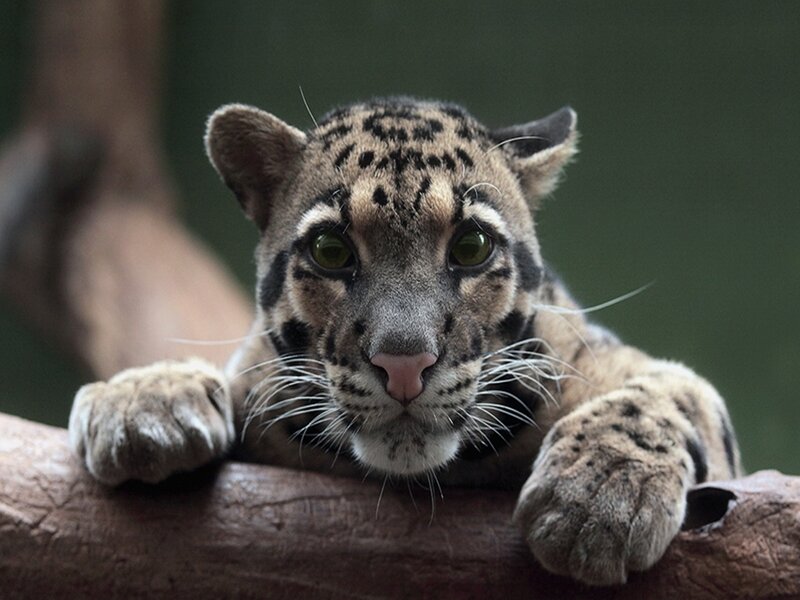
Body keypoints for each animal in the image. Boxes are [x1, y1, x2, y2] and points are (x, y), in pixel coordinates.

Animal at [68, 97, 741, 586]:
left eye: (471, 246)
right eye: (330, 250)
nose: (404, 363)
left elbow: (664, 392)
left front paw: (596, 497)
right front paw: (144, 399)